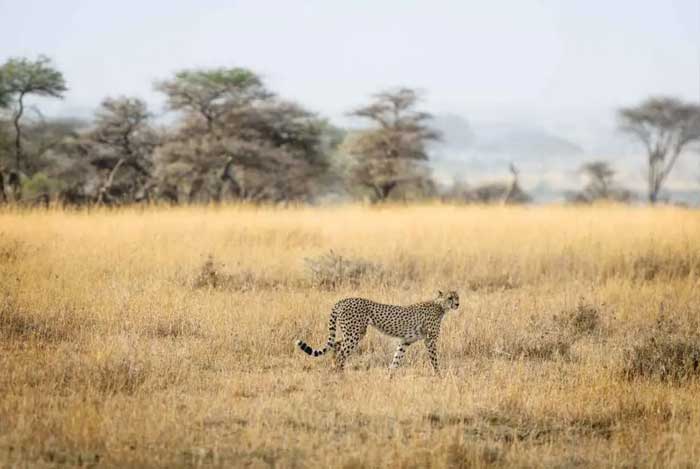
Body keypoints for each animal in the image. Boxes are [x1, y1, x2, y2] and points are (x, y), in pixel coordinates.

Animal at [294, 288, 460, 372]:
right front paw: (439, 376)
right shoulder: (430, 340)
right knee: (341, 353)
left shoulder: (405, 341)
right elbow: (435, 360)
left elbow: (396, 360)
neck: (440, 306)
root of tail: (342, 300)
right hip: (354, 334)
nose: (457, 304)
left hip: (354, 333)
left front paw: (390, 378)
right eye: (450, 297)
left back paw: (336, 370)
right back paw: (340, 375)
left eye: (457, 297)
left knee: (336, 345)